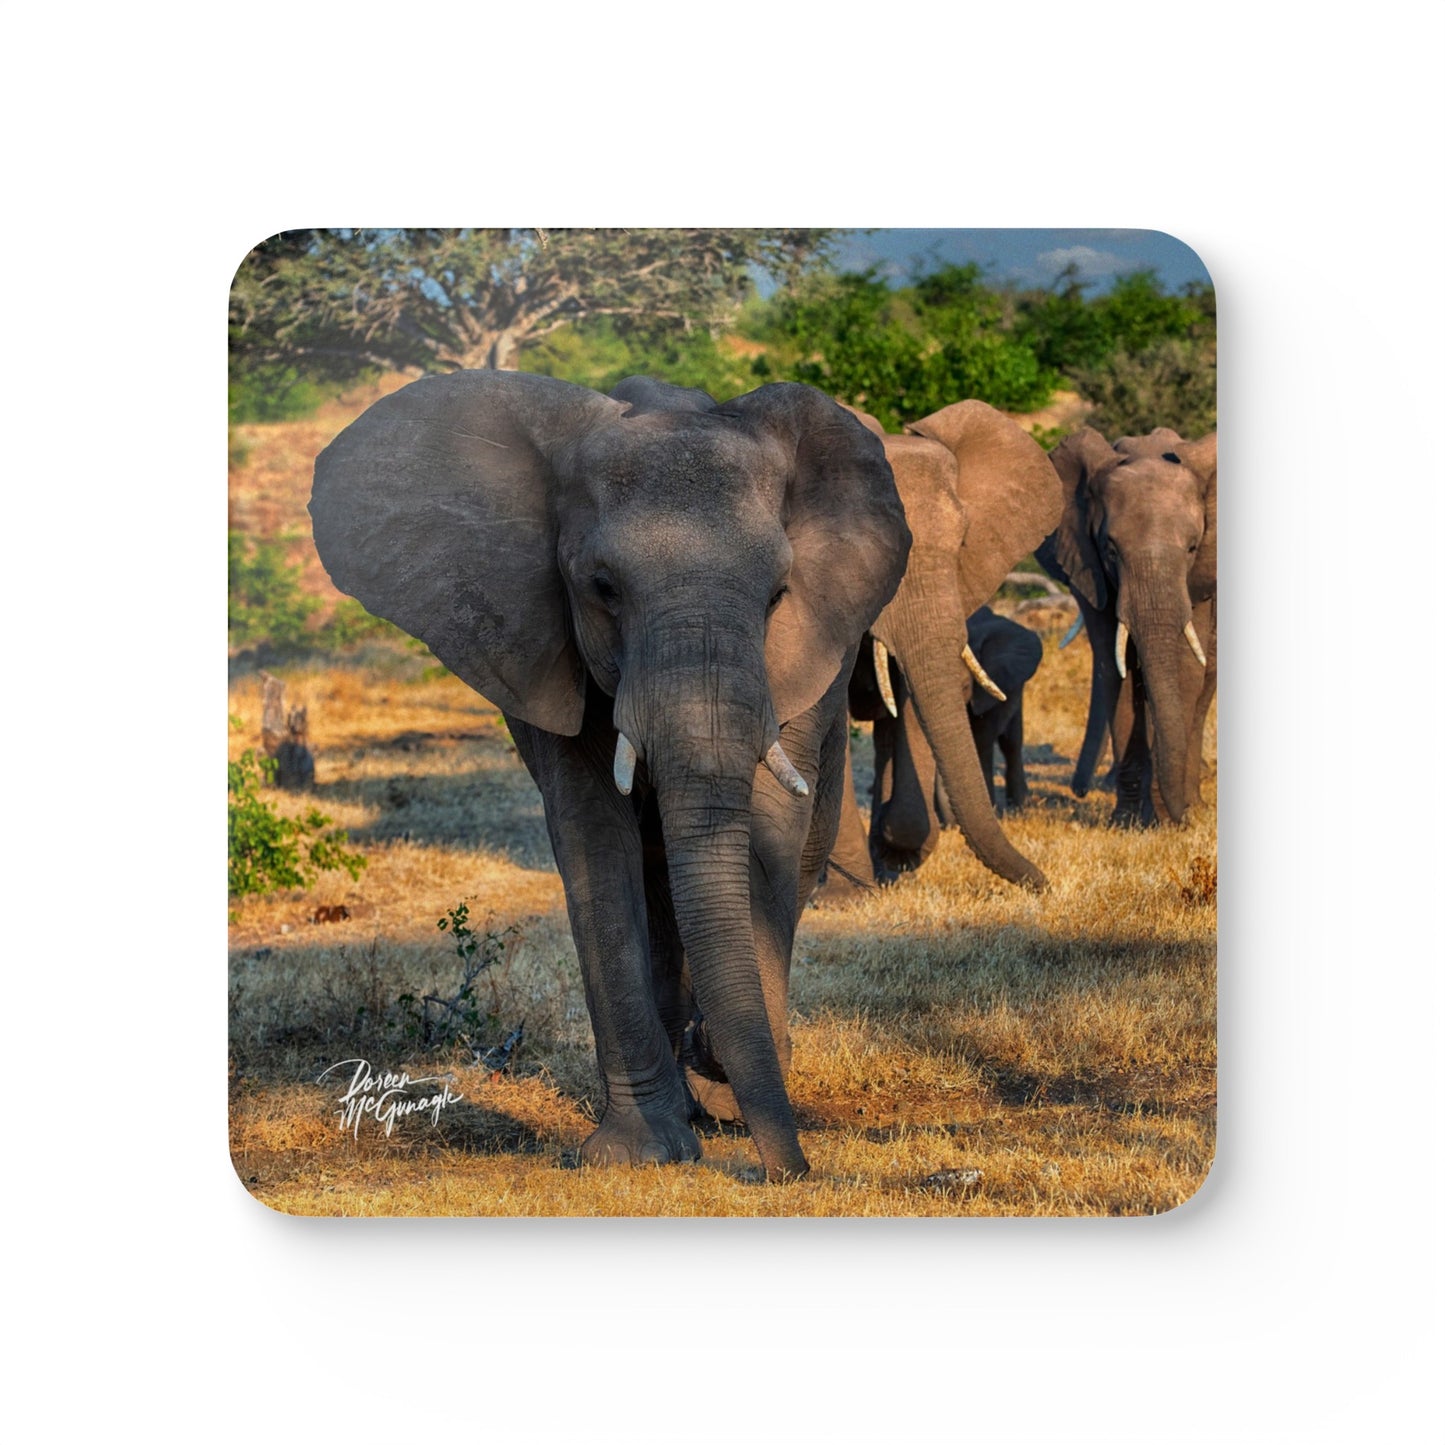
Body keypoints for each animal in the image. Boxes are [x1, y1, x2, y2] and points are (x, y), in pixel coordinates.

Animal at [309, 370, 910, 1182]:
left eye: (778, 594)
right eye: (602, 587)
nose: (791, 1173)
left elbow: (765, 824)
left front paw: (720, 1080)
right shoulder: (541, 643)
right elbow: (596, 836)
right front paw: (640, 1153)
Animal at [1036, 426, 1217, 825]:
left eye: (1192, 548)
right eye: (1111, 549)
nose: (1079, 792)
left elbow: (1184, 670)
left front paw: (1171, 818)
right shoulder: (1089, 568)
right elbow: (1113, 668)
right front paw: (1130, 822)